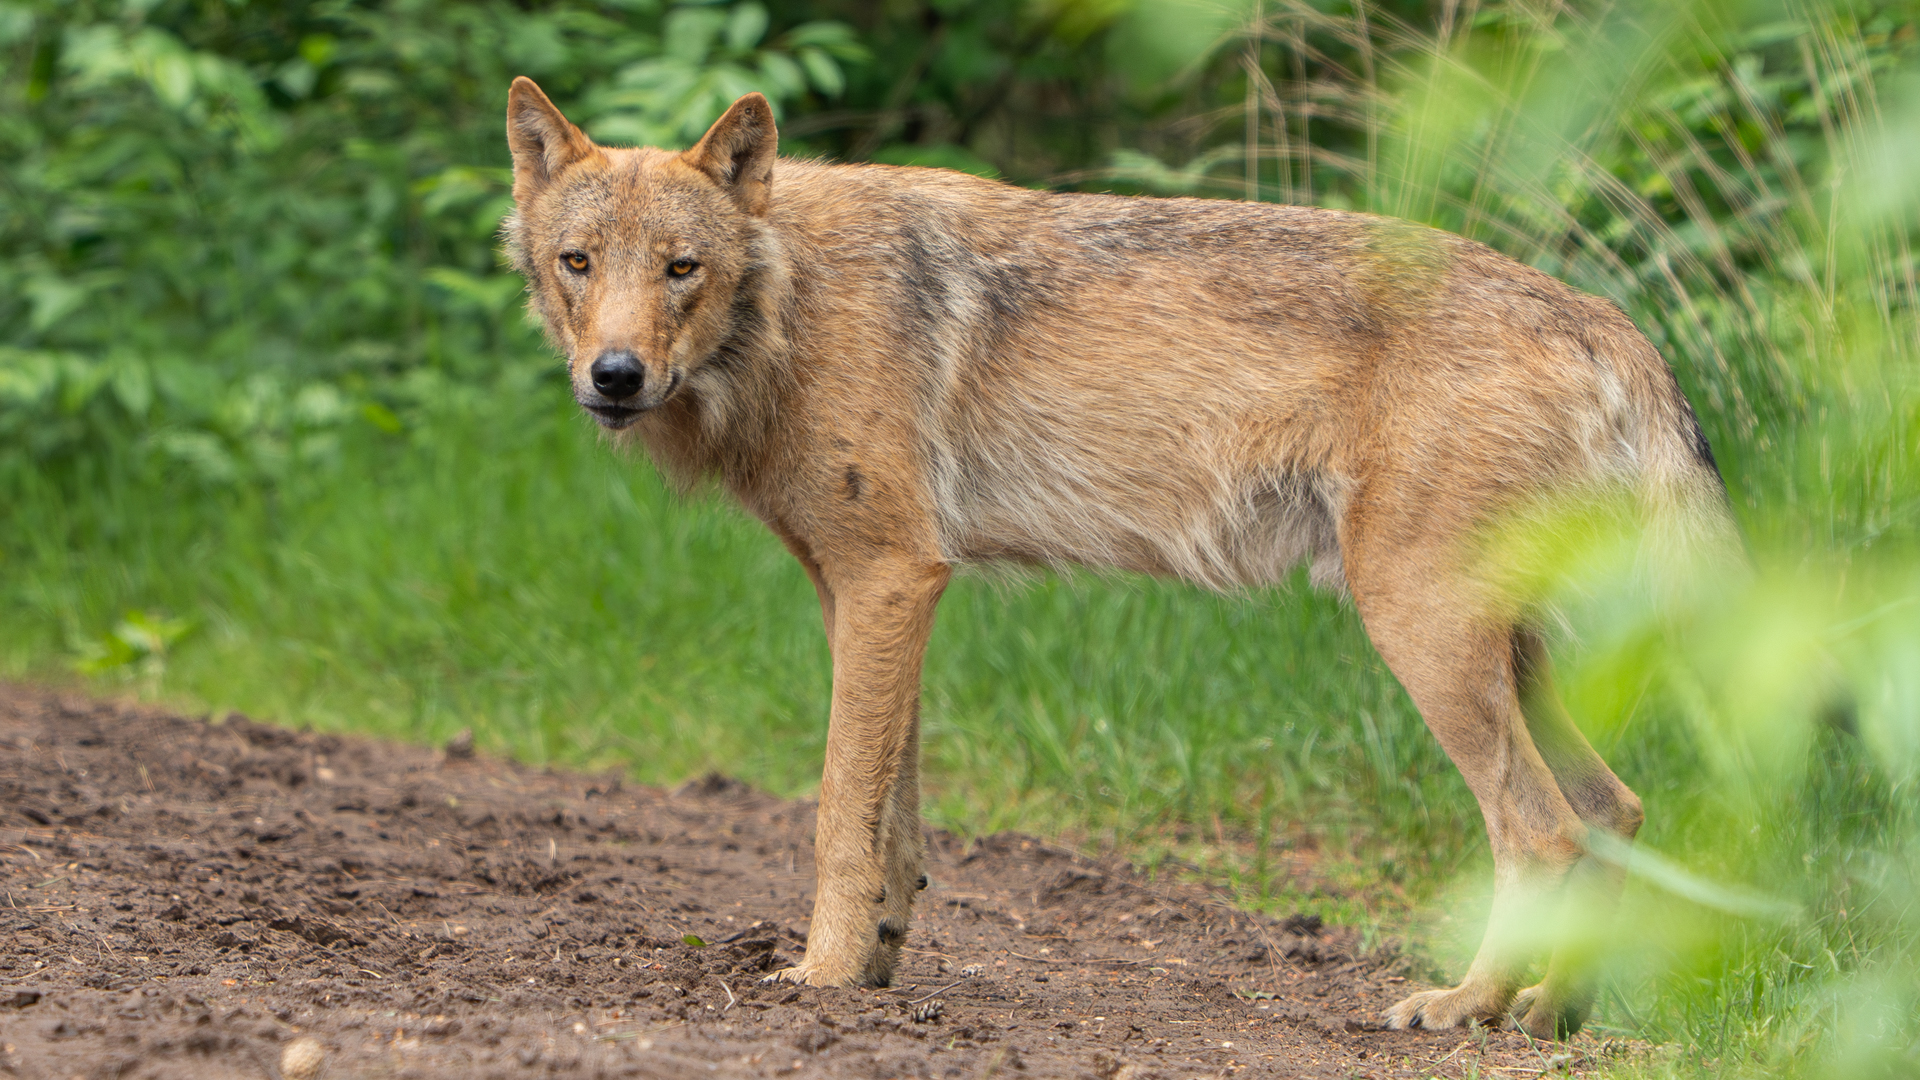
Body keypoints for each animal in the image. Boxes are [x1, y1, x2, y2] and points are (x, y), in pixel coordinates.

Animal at [502, 76, 1738, 1038]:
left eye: (681, 268)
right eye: (578, 263)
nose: (613, 375)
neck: (789, 306)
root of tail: (1598, 314)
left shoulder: (889, 580)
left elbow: (836, 808)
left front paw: (821, 978)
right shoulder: (873, 594)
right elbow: (895, 813)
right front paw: (881, 959)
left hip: (1422, 633)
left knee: (1540, 827)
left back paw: (1466, 1007)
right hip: (1511, 654)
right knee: (1614, 809)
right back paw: (1548, 1017)